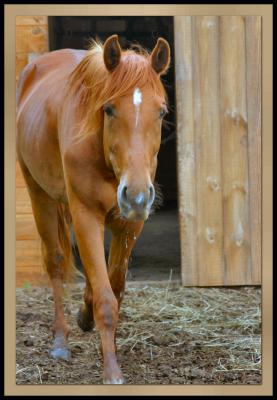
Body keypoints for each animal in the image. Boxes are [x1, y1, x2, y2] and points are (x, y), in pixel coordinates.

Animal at [16, 36, 170, 382]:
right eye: (109, 109)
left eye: (161, 111)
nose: (136, 195)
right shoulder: (86, 214)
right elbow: (105, 298)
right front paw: (112, 372)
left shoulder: (130, 225)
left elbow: (115, 286)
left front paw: (91, 322)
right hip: (39, 194)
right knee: (55, 262)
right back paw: (60, 342)